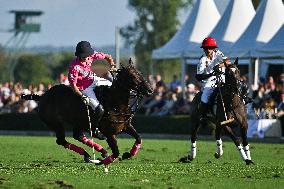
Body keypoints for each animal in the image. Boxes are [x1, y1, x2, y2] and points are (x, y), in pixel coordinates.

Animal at [21, 59, 153, 165]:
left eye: (140, 73)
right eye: (132, 76)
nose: (150, 90)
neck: (115, 103)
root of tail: (42, 96)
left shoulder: (126, 126)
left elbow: (139, 138)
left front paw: (127, 154)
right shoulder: (109, 133)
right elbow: (116, 152)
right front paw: (103, 162)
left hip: (78, 122)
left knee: (78, 136)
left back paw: (98, 152)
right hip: (56, 123)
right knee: (62, 140)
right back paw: (89, 154)